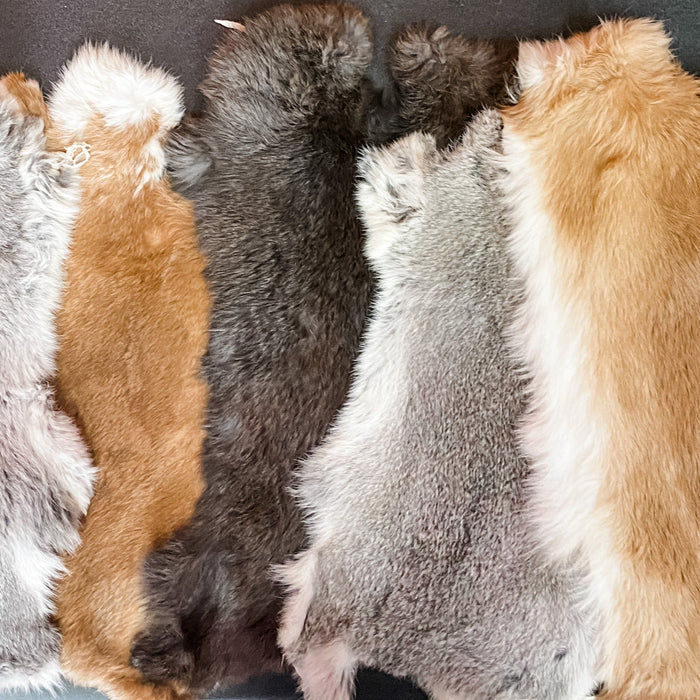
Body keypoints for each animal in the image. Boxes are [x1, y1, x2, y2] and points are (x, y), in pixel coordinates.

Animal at [128, 4, 374, 696]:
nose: (346, 15)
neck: (316, 112)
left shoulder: (220, 155)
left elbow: (194, 159)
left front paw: (173, 144)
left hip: (195, 548)